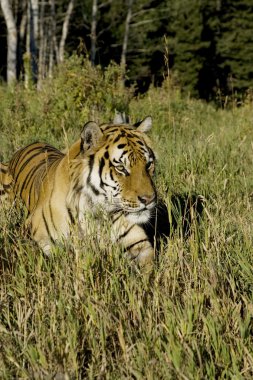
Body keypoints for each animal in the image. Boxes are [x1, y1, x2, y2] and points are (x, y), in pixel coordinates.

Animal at [0, 115, 158, 268]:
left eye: (148, 164)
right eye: (121, 168)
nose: (149, 199)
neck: (97, 212)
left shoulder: (139, 244)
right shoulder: (36, 235)